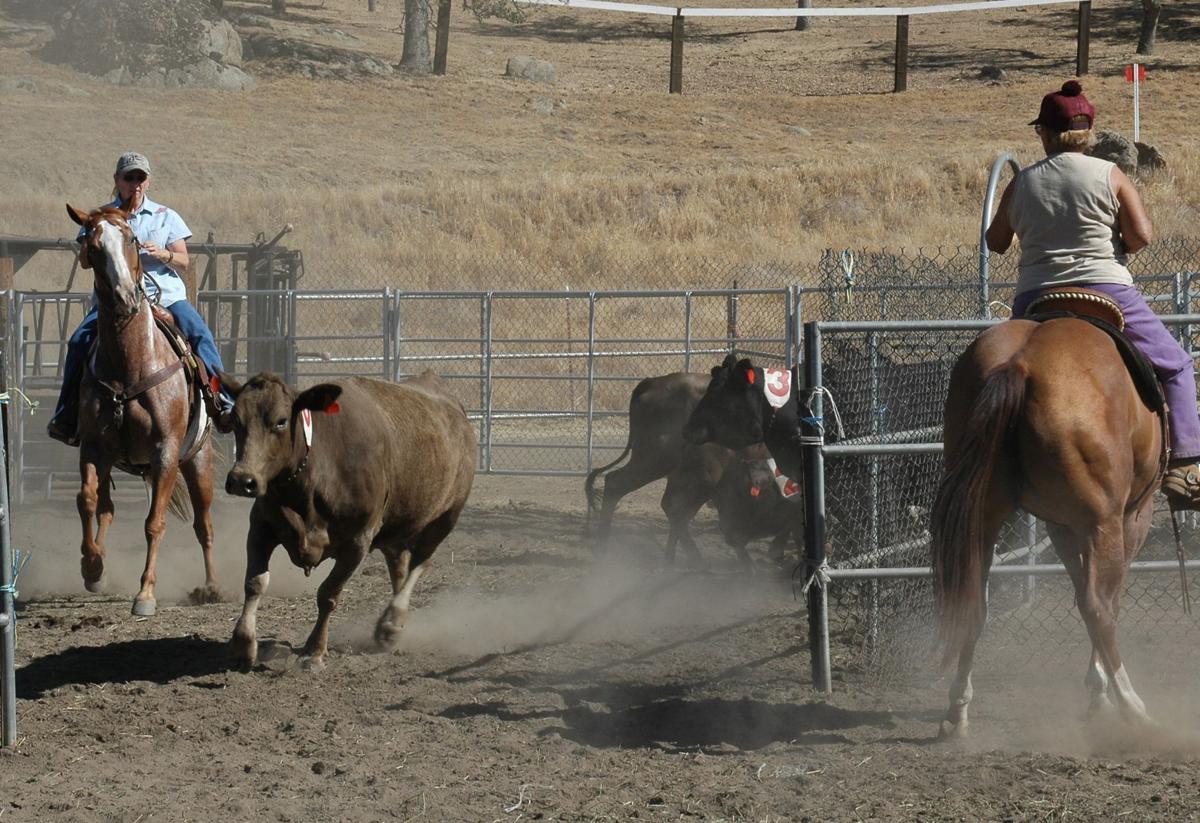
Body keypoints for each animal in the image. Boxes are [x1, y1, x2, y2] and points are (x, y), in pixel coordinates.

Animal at [66, 204, 222, 616]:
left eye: (133, 239)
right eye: (92, 245)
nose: (124, 296)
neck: (131, 363)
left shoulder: (165, 452)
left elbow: (155, 523)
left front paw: (146, 594)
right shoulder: (94, 447)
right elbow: (86, 500)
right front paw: (91, 566)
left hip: (198, 461)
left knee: (204, 525)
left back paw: (211, 587)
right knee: (106, 507)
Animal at [931, 313, 1164, 736]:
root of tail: (1019, 362)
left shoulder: (1062, 526)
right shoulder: (1127, 518)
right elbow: (1107, 599)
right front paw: (1100, 692)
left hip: (983, 518)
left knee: (975, 604)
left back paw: (957, 711)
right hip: (1103, 521)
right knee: (1098, 608)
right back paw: (1134, 707)